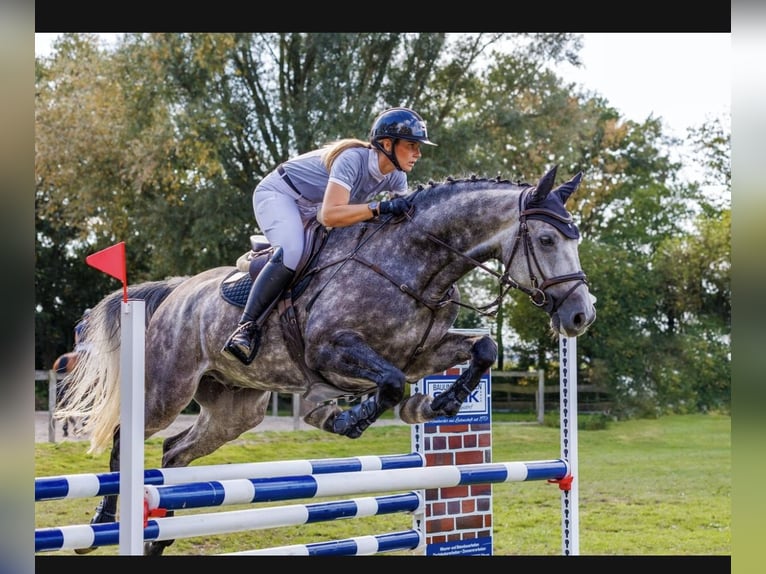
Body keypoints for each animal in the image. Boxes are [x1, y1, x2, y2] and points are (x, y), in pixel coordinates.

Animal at [60, 164, 600, 556]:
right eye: (547, 240)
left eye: (575, 240)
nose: (580, 316)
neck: (416, 262)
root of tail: (175, 292)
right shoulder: (330, 350)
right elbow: (390, 384)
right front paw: (349, 417)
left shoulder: (422, 352)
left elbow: (482, 349)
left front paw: (439, 404)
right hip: (167, 389)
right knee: (124, 436)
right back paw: (104, 520)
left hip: (237, 408)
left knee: (174, 453)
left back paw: (160, 535)